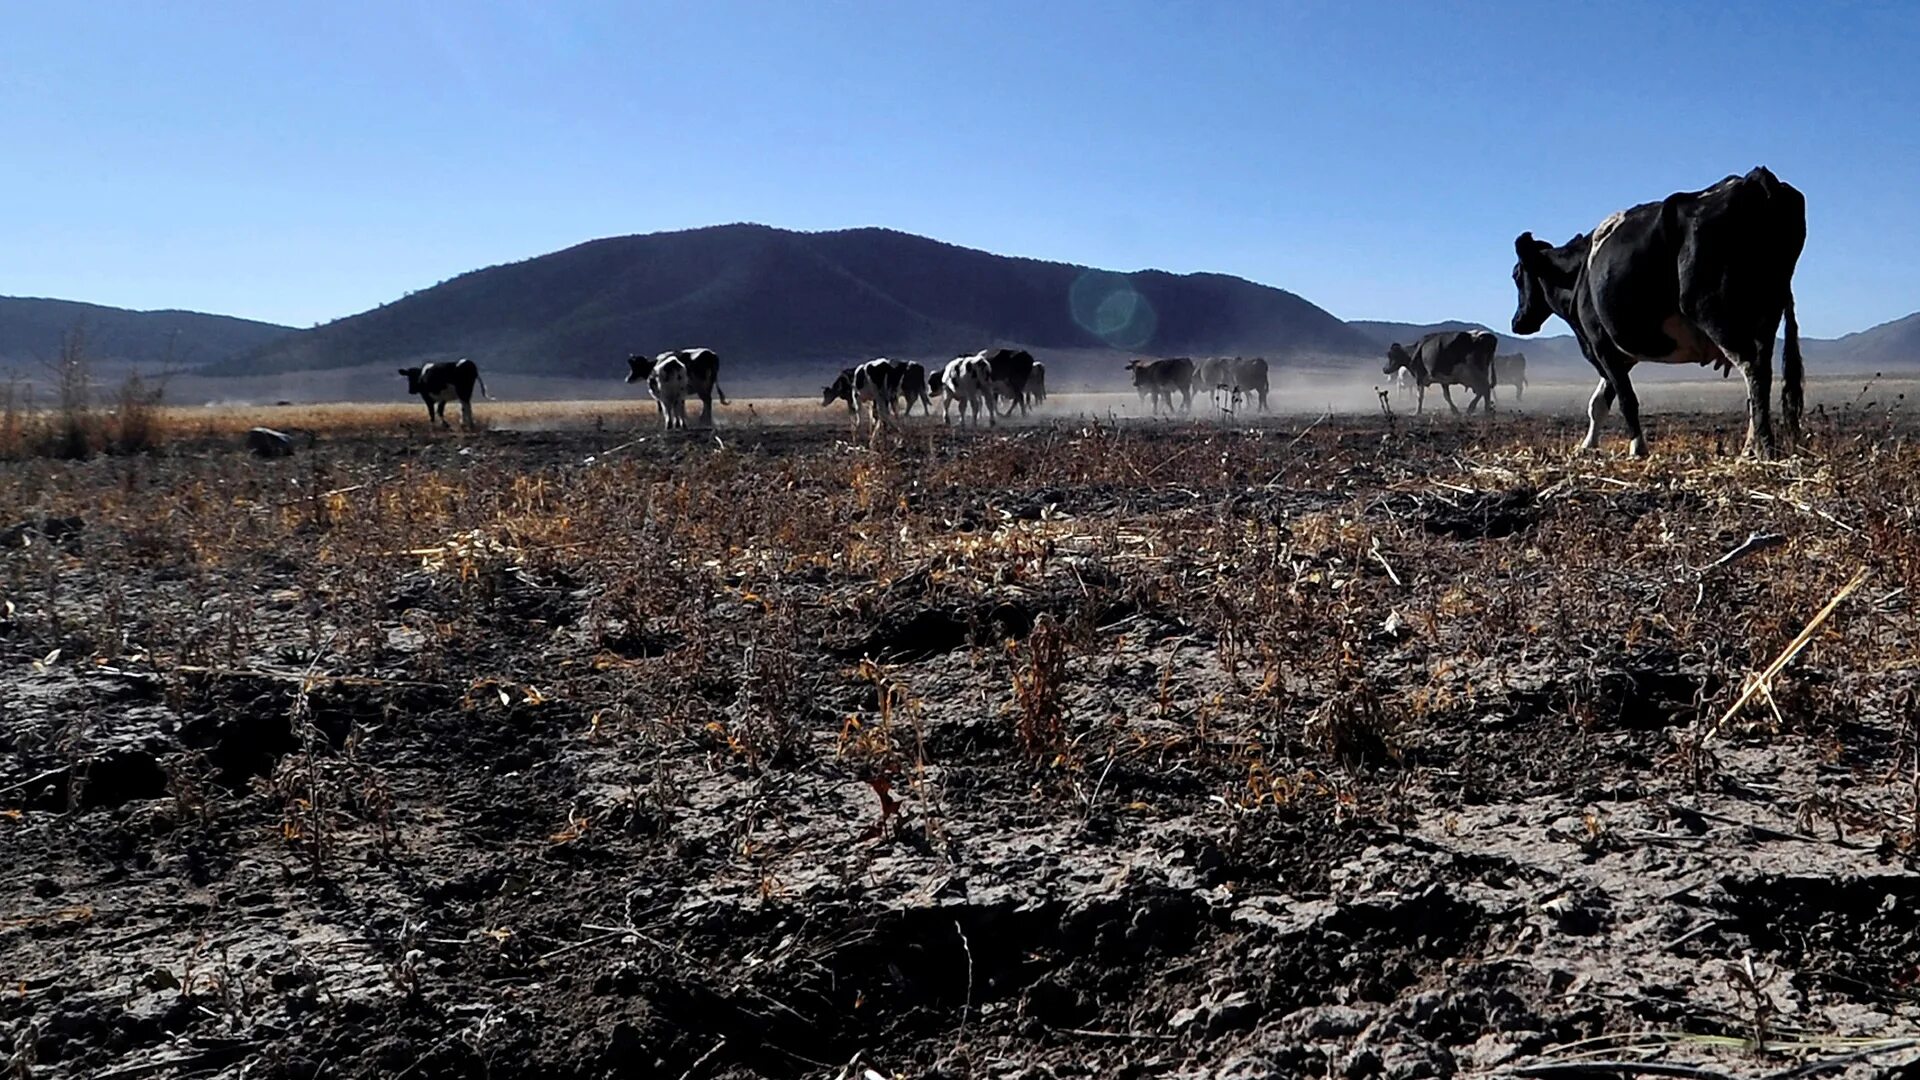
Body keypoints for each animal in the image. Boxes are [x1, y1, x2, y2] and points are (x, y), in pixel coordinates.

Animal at [1505, 164, 1804, 453]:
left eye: (1516, 275)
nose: (1517, 322)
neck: (1579, 273)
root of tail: (1756, 178)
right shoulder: (1619, 354)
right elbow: (1598, 403)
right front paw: (1587, 446)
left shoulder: (1602, 344)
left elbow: (1626, 400)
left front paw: (1637, 448)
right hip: (1765, 319)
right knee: (1761, 377)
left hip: (1714, 313)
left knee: (1752, 370)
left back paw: (1758, 446)